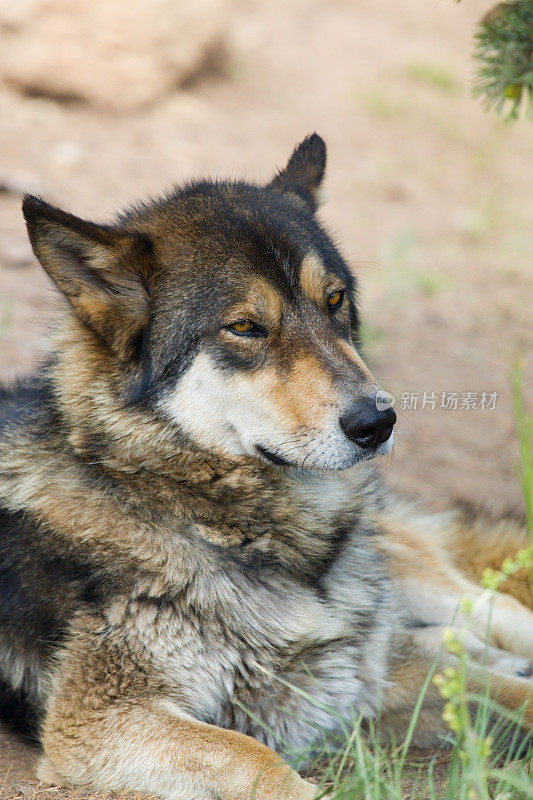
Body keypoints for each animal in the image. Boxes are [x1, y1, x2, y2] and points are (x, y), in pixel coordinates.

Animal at [0, 138, 528, 800]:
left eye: (335, 301)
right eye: (246, 327)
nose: (378, 421)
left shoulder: (363, 676)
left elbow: (510, 695)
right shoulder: (98, 724)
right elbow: (257, 758)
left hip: (415, 576)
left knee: (493, 610)